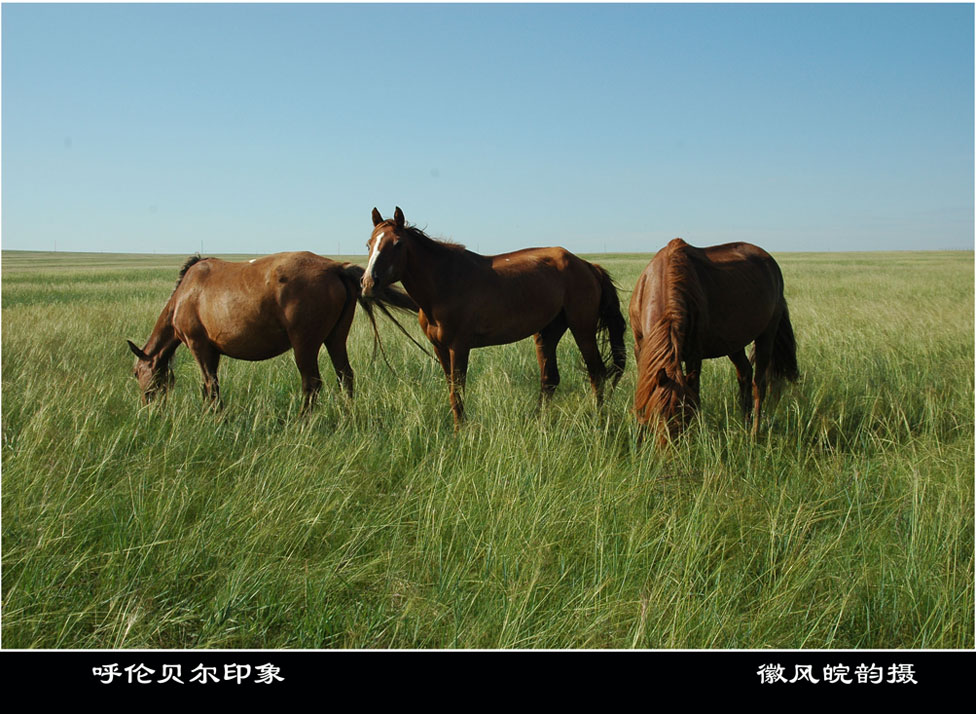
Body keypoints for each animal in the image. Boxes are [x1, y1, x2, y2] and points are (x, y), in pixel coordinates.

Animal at [127, 250, 418, 406]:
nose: (147, 407)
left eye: (136, 372)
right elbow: (212, 385)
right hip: (335, 339)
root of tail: (335, 267)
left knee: (312, 384)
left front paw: (214, 418)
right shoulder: (213, 351)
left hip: (305, 345)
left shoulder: (199, 346)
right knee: (345, 377)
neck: (185, 293)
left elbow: (210, 385)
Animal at [358, 206, 624, 422]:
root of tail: (587, 265)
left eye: (398, 244)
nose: (369, 283)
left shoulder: (459, 347)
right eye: (369, 244)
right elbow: (452, 391)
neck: (444, 282)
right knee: (550, 379)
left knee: (597, 374)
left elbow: (458, 392)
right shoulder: (439, 347)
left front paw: (461, 434)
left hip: (582, 329)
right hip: (547, 333)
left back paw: (599, 422)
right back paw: (539, 423)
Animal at [628, 236, 796, 442]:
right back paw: (745, 422)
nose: (669, 448)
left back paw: (754, 433)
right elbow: (643, 388)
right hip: (734, 344)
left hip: (767, 334)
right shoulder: (640, 349)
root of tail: (771, 263)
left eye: (686, 417)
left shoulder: (694, 354)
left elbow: (696, 392)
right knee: (745, 374)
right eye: (657, 414)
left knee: (759, 383)